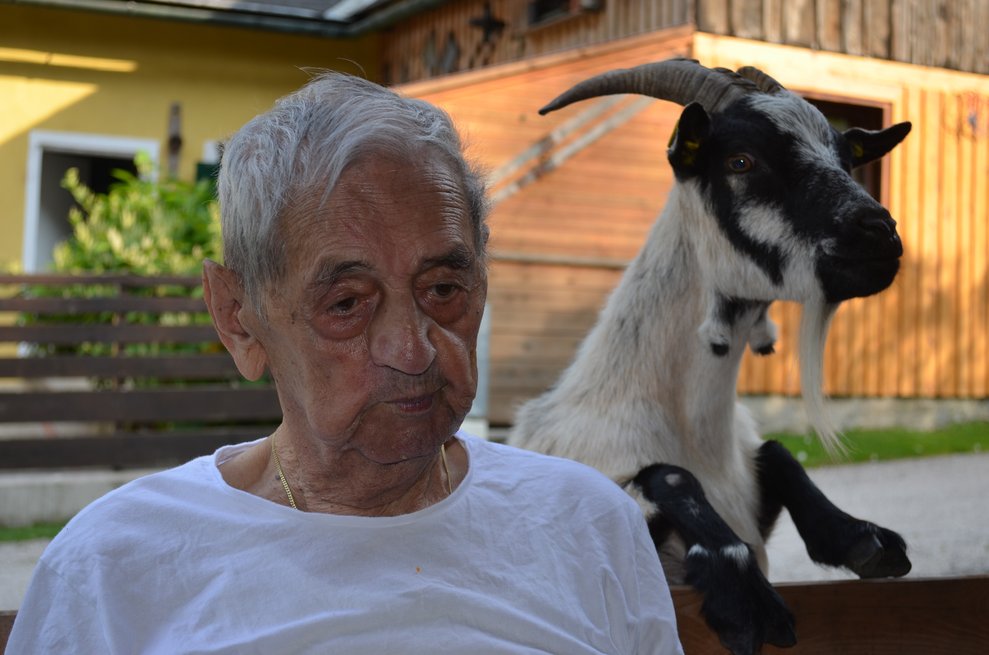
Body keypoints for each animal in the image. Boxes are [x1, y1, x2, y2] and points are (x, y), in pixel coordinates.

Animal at [508, 59, 912, 655]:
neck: (697, 434)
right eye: (741, 160)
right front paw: (744, 599)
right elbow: (667, 478)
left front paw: (865, 539)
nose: (879, 232)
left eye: (844, 159)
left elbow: (779, 453)